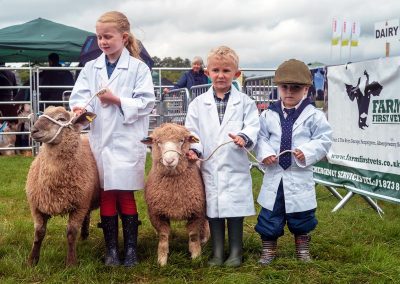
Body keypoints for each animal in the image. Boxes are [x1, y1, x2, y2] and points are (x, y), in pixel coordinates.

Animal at [26, 106, 100, 266]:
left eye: (61, 119)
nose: (33, 130)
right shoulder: (36, 205)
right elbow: (39, 233)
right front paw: (32, 260)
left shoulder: (79, 205)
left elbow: (71, 233)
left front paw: (71, 263)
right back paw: (84, 236)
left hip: (87, 198)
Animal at [141, 122, 209, 266]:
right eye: (157, 142)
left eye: (182, 140)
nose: (169, 160)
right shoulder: (156, 214)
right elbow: (163, 236)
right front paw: (162, 260)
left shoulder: (197, 211)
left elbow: (193, 235)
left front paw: (196, 257)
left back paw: (204, 238)